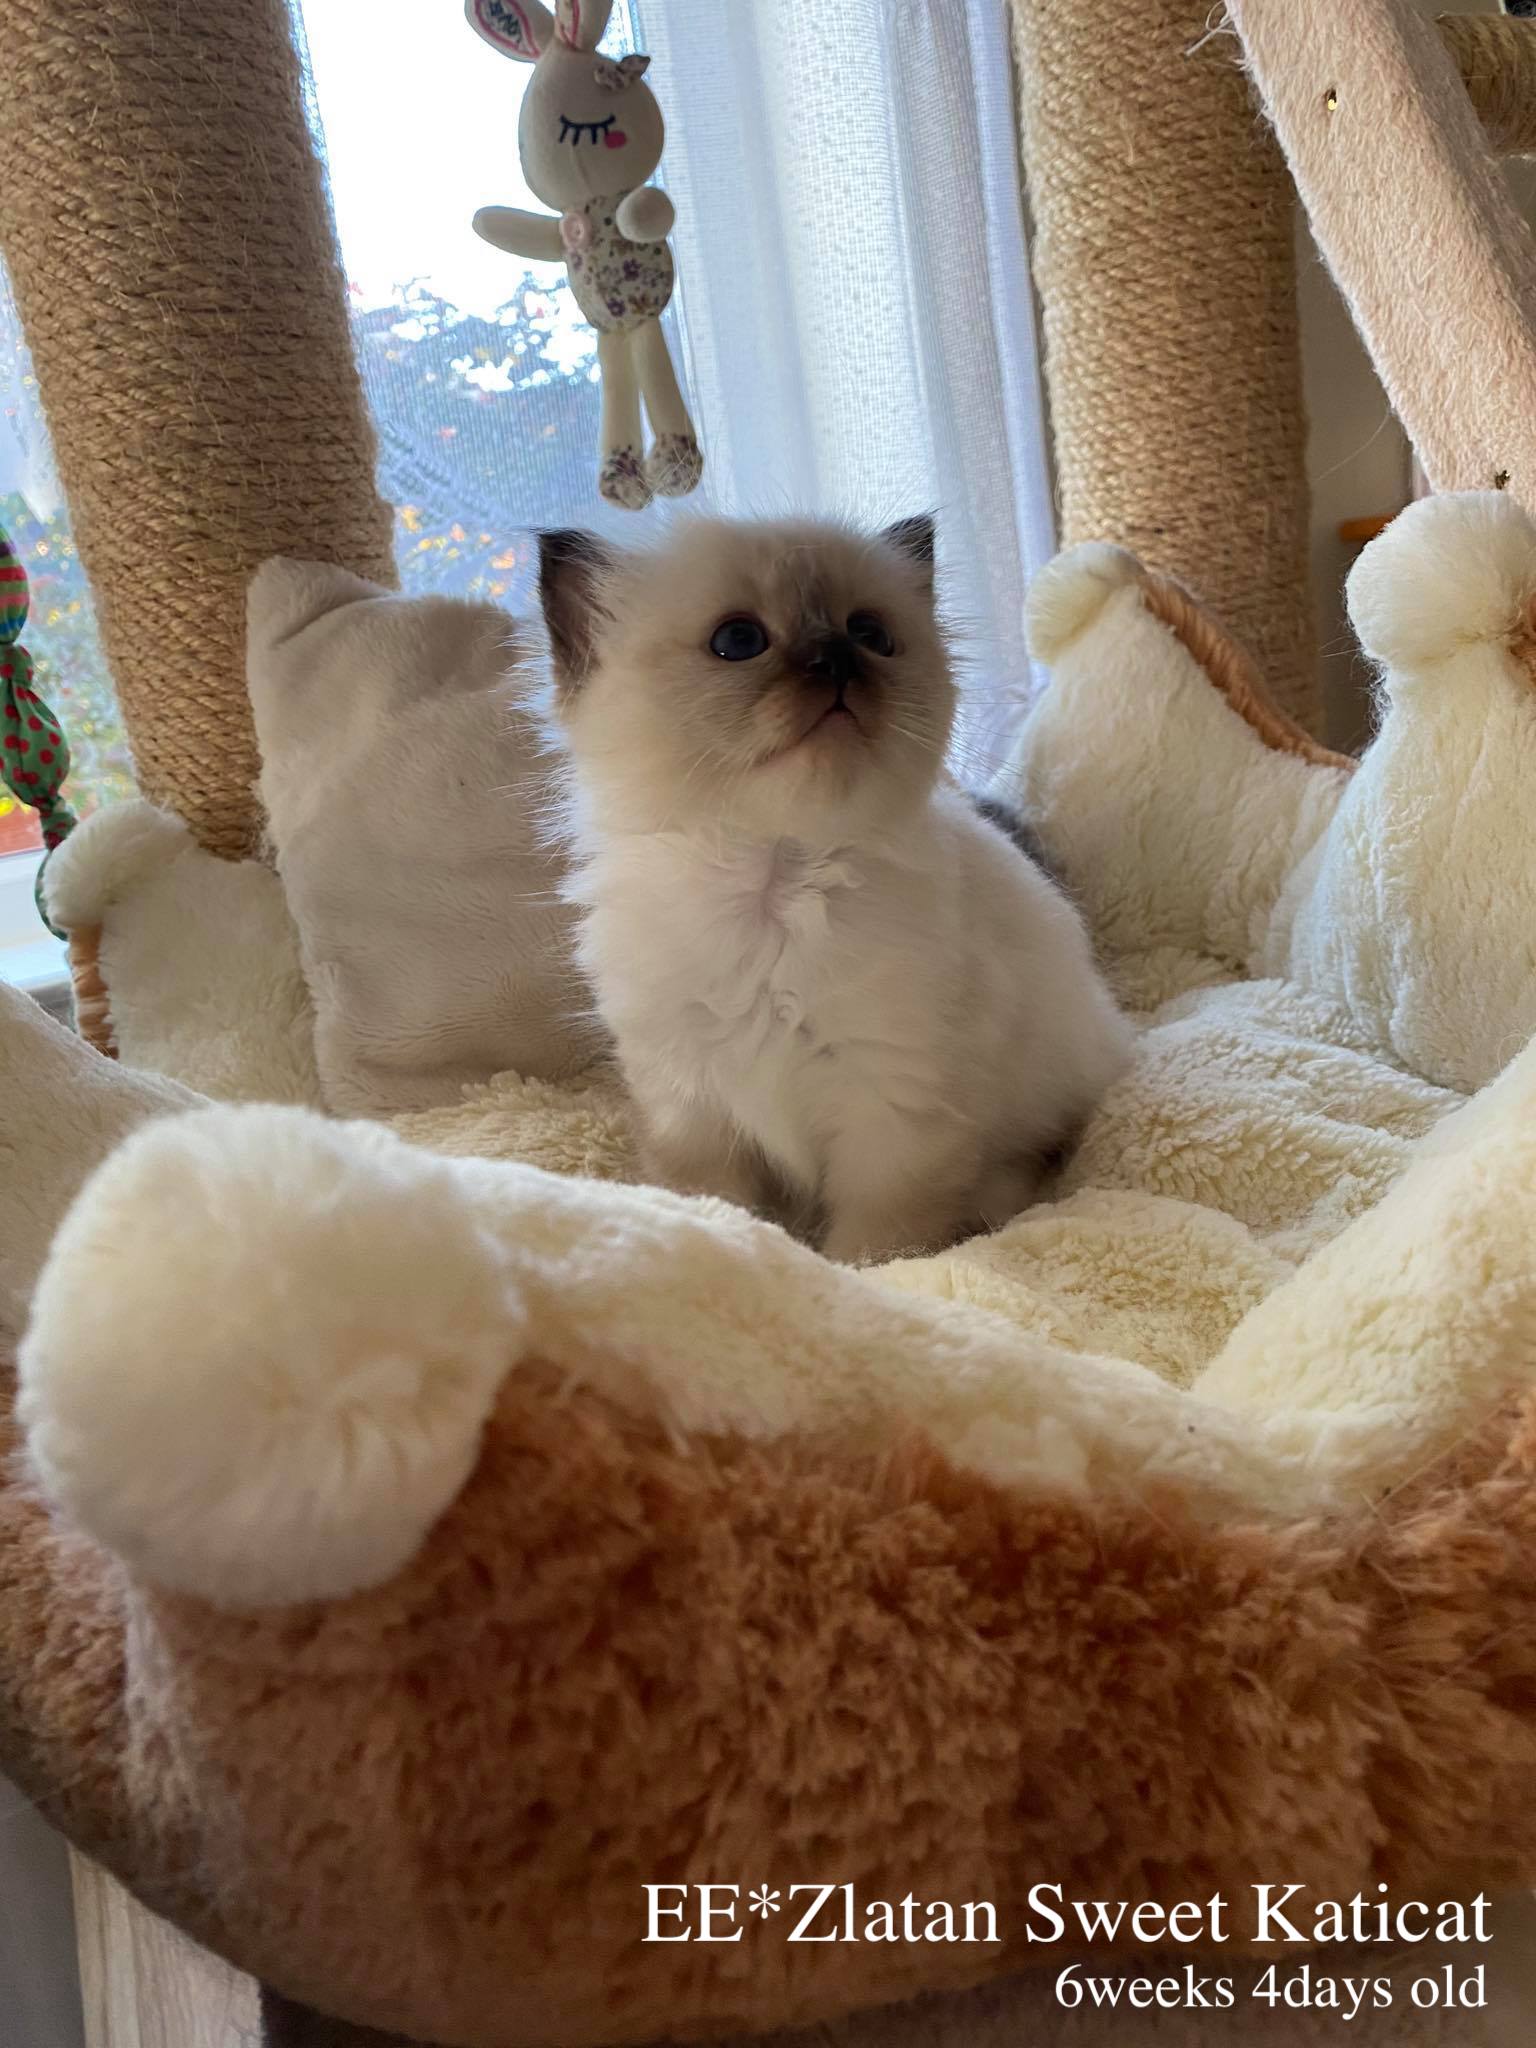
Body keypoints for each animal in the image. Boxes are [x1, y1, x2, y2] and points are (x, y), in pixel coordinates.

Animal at [538, 514, 1131, 1264]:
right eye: (739, 641)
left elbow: (874, 1247)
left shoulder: (891, 1111)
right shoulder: (689, 1106)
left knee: (1024, 1166)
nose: (836, 661)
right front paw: (733, 1242)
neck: (773, 885)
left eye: (870, 635)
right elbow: (718, 1207)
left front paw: (860, 1277)